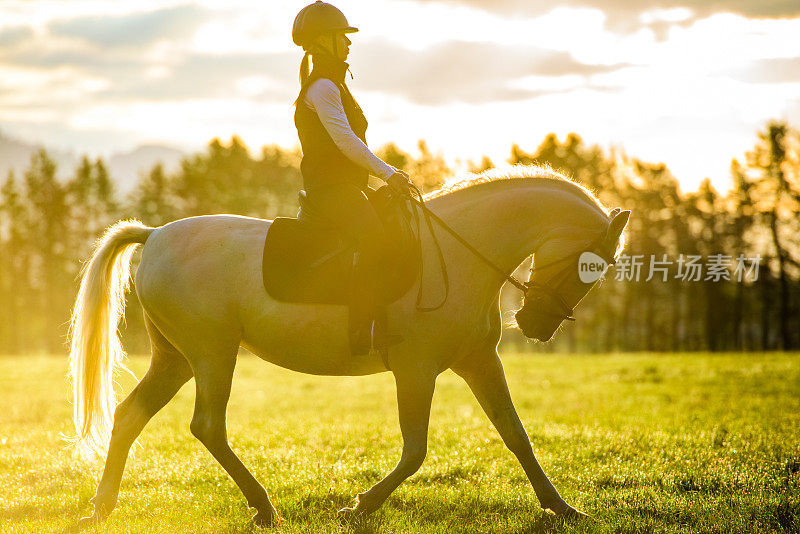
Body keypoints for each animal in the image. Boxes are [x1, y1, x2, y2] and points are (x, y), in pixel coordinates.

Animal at [69, 165, 628, 528]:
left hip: (178, 358)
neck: (457, 252)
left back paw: (102, 506)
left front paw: (563, 508)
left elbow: (516, 435)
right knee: (206, 426)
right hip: (211, 353)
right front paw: (359, 508)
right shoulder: (416, 368)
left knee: (130, 415)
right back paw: (263, 506)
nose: (537, 325)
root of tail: (155, 234)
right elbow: (415, 450)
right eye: (589, 265)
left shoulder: (477, 362)